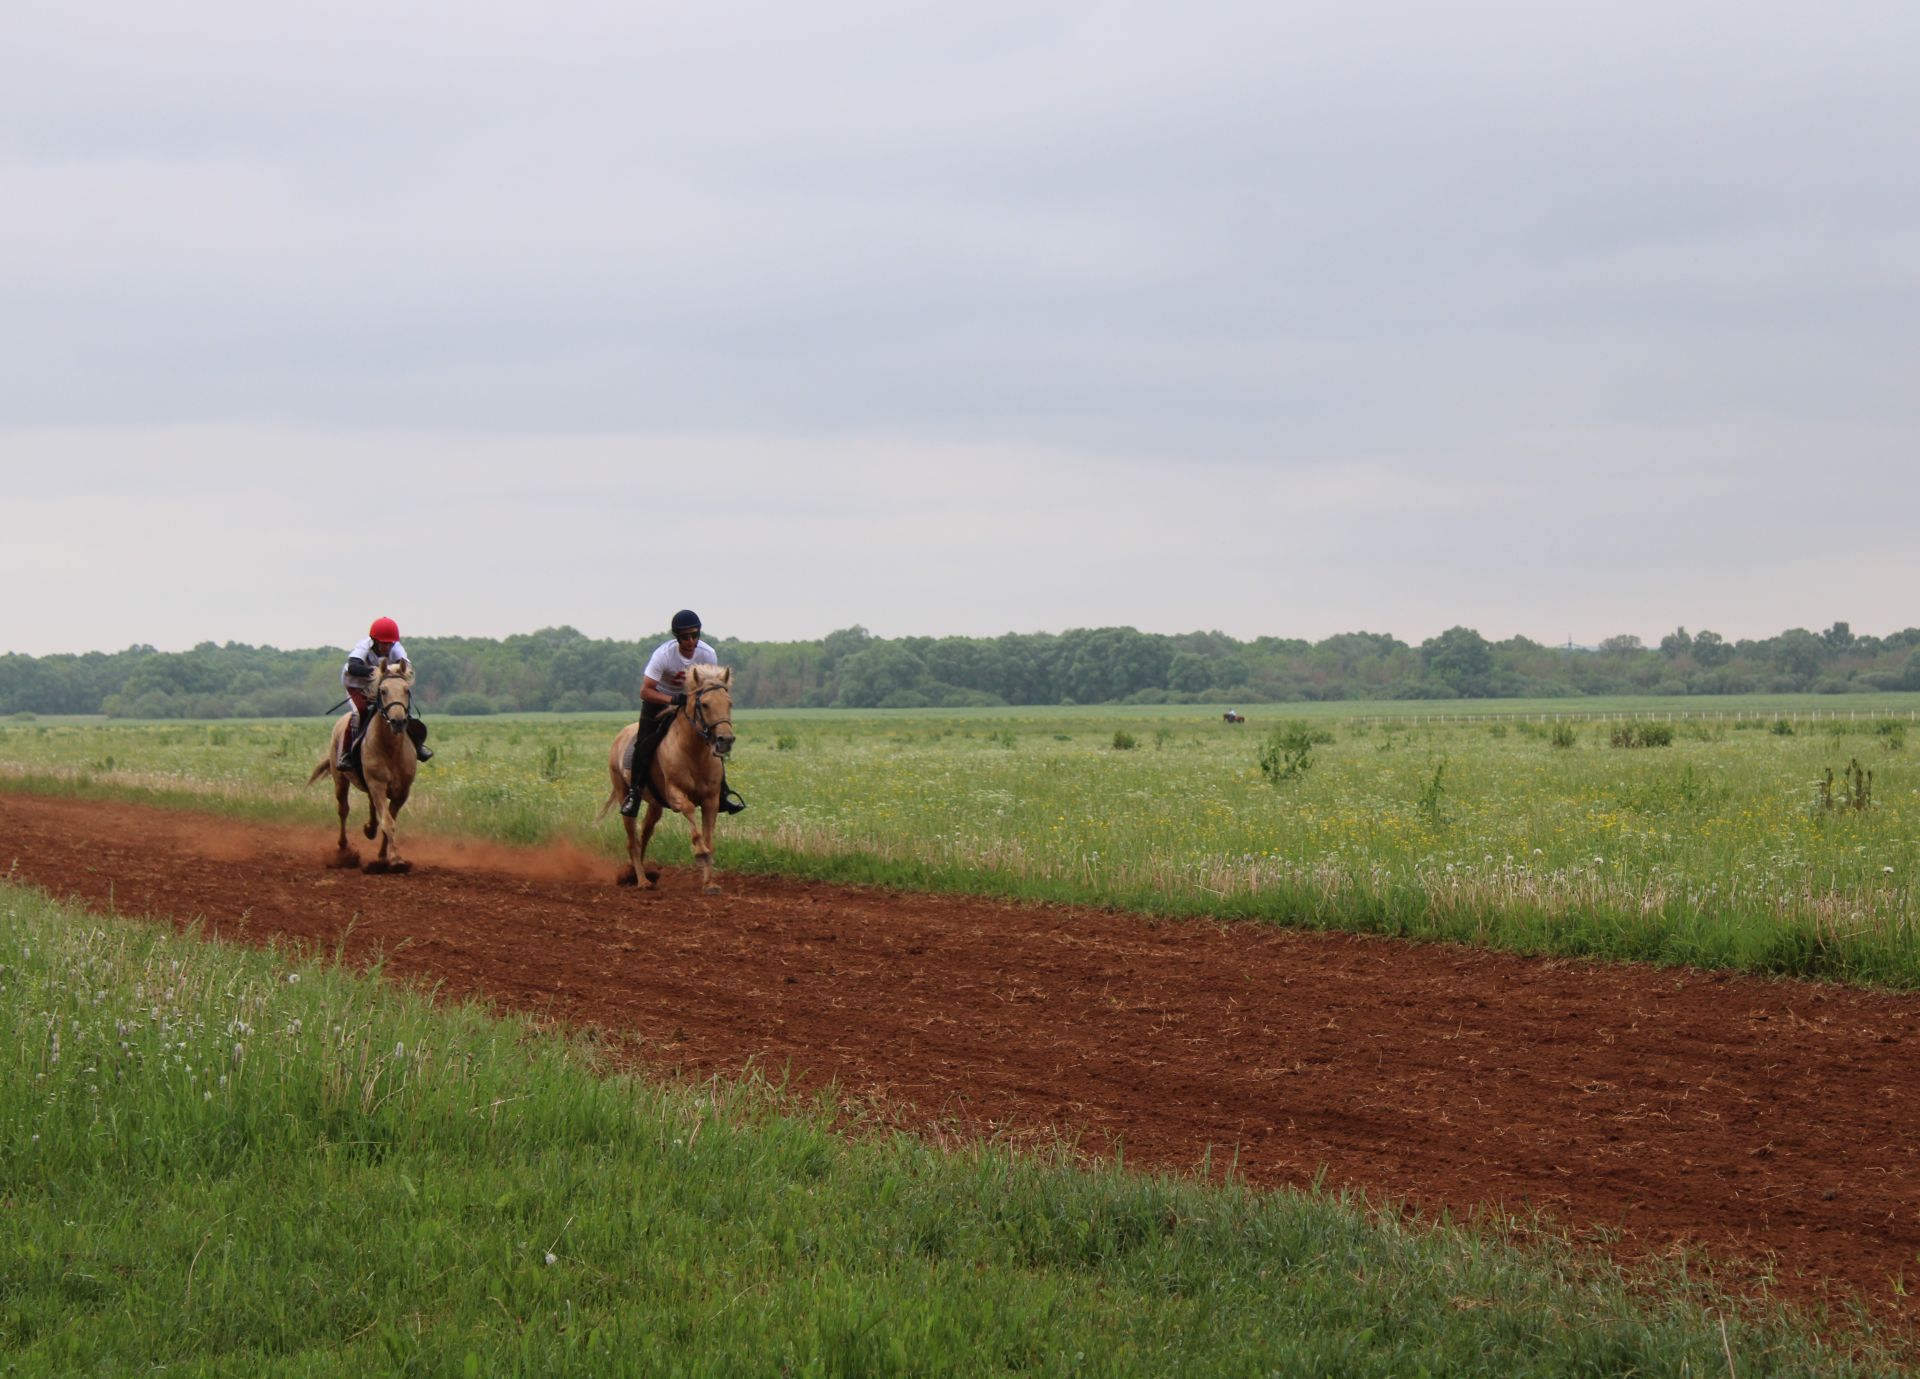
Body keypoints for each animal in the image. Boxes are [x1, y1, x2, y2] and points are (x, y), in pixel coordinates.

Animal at [305, 660, 418, 875]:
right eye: (383, 690)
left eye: (407, 690)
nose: (398, 721)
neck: (390, 748)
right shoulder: (377, 785)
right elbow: (388, 822)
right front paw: (396, 859)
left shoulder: (403, 791)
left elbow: (389, 819)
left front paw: (384, 857)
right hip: (340, 780)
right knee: (343, 809)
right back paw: (343, 849)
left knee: (371, 807)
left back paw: (370, 828)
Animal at [591, 668, 733, 895]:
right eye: (705, 704)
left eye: (729, 703)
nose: (725, 740)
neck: (694, 752)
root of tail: (620, 735)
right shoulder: (675, 794)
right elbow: (690, 812)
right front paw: (700, 852)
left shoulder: (711, 800)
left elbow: (709, 839)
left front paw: (710, 883)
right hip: (623, 794)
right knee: (632, 841)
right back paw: (642, 881)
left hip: (655, 804)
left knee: (644, 834)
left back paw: (635, 874)